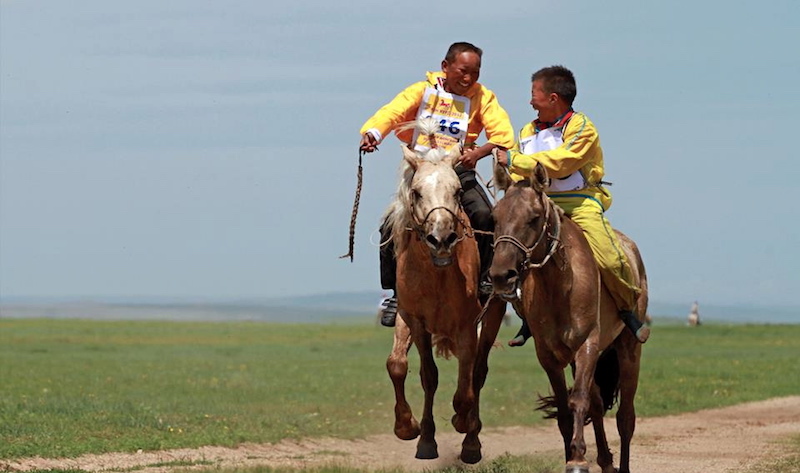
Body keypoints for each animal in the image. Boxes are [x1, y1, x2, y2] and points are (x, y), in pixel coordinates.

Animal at [382, 123, 506, 462]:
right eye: (416, 192)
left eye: (458, 192)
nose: (441, 238)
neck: (436, 274)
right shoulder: (413, 319)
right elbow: (410, 369)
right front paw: (414, 432)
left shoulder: (466, 326)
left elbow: (465, 386)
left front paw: (462, 422)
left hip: (491, 318)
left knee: (478, 373)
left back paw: (471, 442)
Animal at [488, 162, 648, 472]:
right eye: (495, 217)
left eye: (534, 218)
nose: (501, 275)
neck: (560, 285)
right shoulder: (549, 355)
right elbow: (565, 410)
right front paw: (574, 454)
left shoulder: (587, 345)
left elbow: (579, 401)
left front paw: (577, 459)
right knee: (597, 403)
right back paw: (605, 461)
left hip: (628, 350)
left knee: (626, 417)